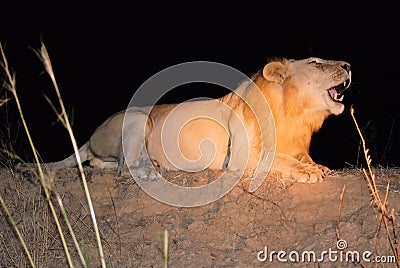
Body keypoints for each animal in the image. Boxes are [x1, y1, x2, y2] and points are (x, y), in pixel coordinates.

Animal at [28, 57, 352, 184]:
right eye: (316, 62)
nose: (348, 65)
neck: (295, 114)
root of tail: (91, 135)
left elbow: (297, 155)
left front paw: (316, 165)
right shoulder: (238, 157)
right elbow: (278, 158)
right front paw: (308, 171)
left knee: (100, 164)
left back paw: (153, 164)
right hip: (138, 117)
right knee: (121, 168)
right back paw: (150, 171)